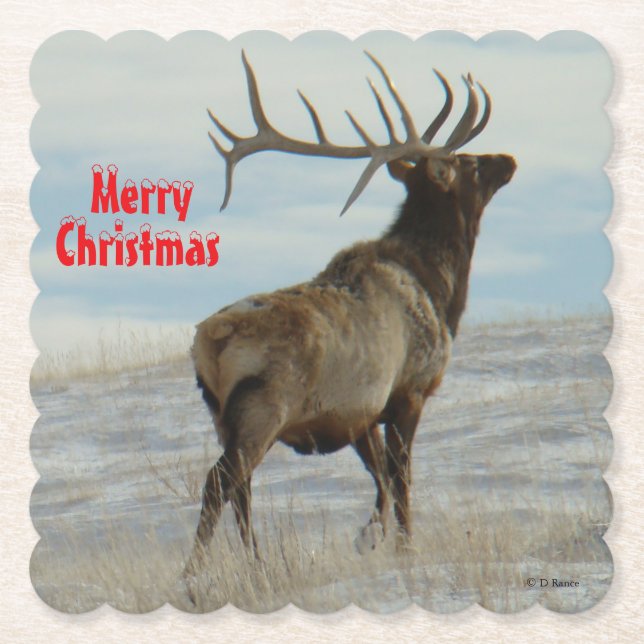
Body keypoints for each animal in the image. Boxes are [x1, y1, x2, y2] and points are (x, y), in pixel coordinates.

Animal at [182, 51, 516, 597]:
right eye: (469, 162)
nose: (507, 159)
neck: (441, 289)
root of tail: (209, 341)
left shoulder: (359, 411)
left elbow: (379, 478)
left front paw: (369, 536)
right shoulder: (409, 389)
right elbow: (401, 479)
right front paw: (402, 547)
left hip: (221, 414)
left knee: (240, 489)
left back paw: (258, 565)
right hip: (263, 407)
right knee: (219, 483)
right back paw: (192, 574)